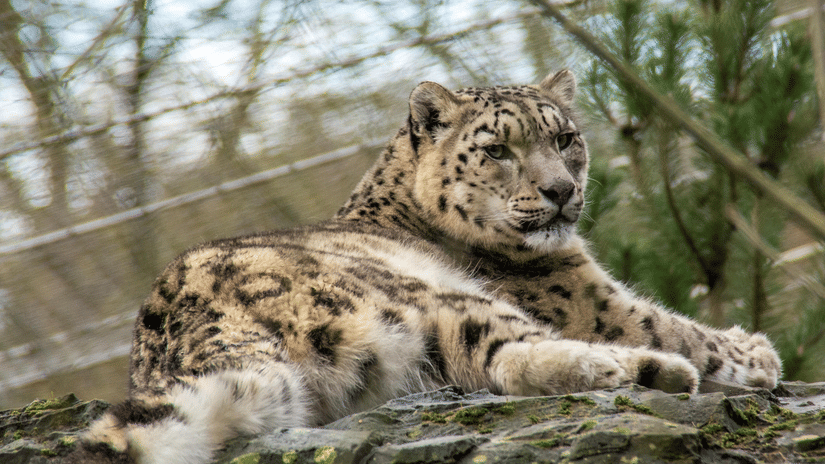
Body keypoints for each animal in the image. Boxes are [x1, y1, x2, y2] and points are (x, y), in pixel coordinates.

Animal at [71, 70, 781, 464]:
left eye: (565, 138)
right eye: (496, 149)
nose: (560, 191)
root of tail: (187, 335)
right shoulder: (592, 297)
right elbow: (674, 323)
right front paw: (754, 350)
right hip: (436, 297)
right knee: (507, 354)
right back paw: (653, 371)